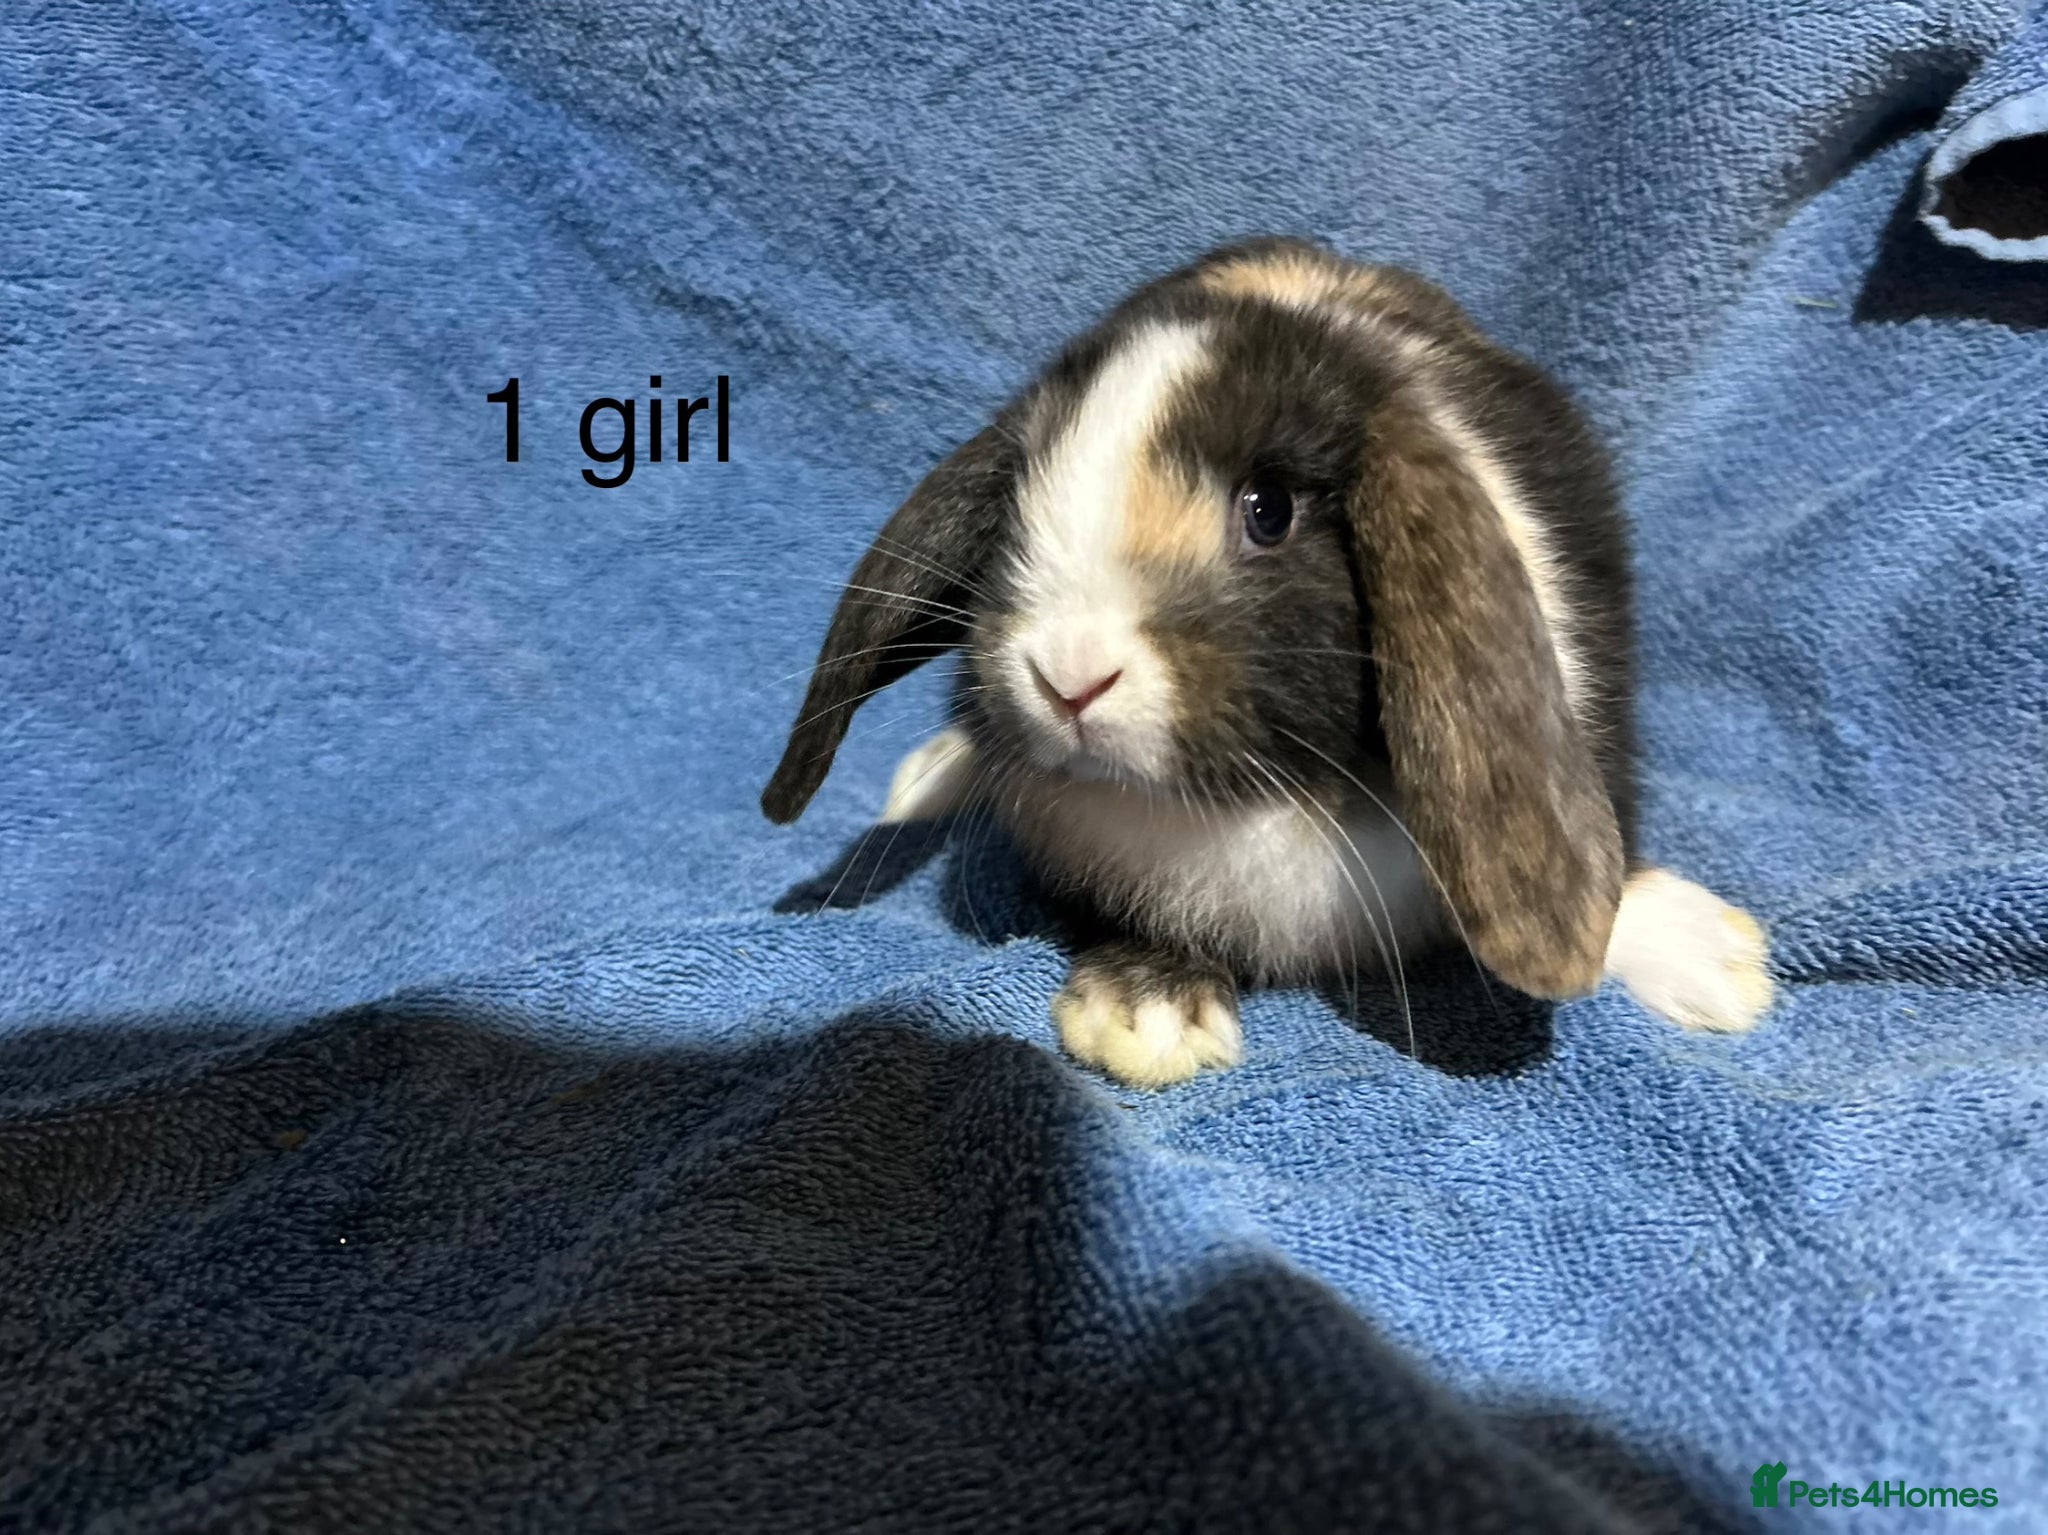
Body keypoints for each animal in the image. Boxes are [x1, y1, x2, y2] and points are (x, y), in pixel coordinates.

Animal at [761, 237, 1773, 1087]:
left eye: (1270, 510)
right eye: (1015, 506)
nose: (1068, 677)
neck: (1261, 796)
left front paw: (1715, 959)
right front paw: (1145, 1015)